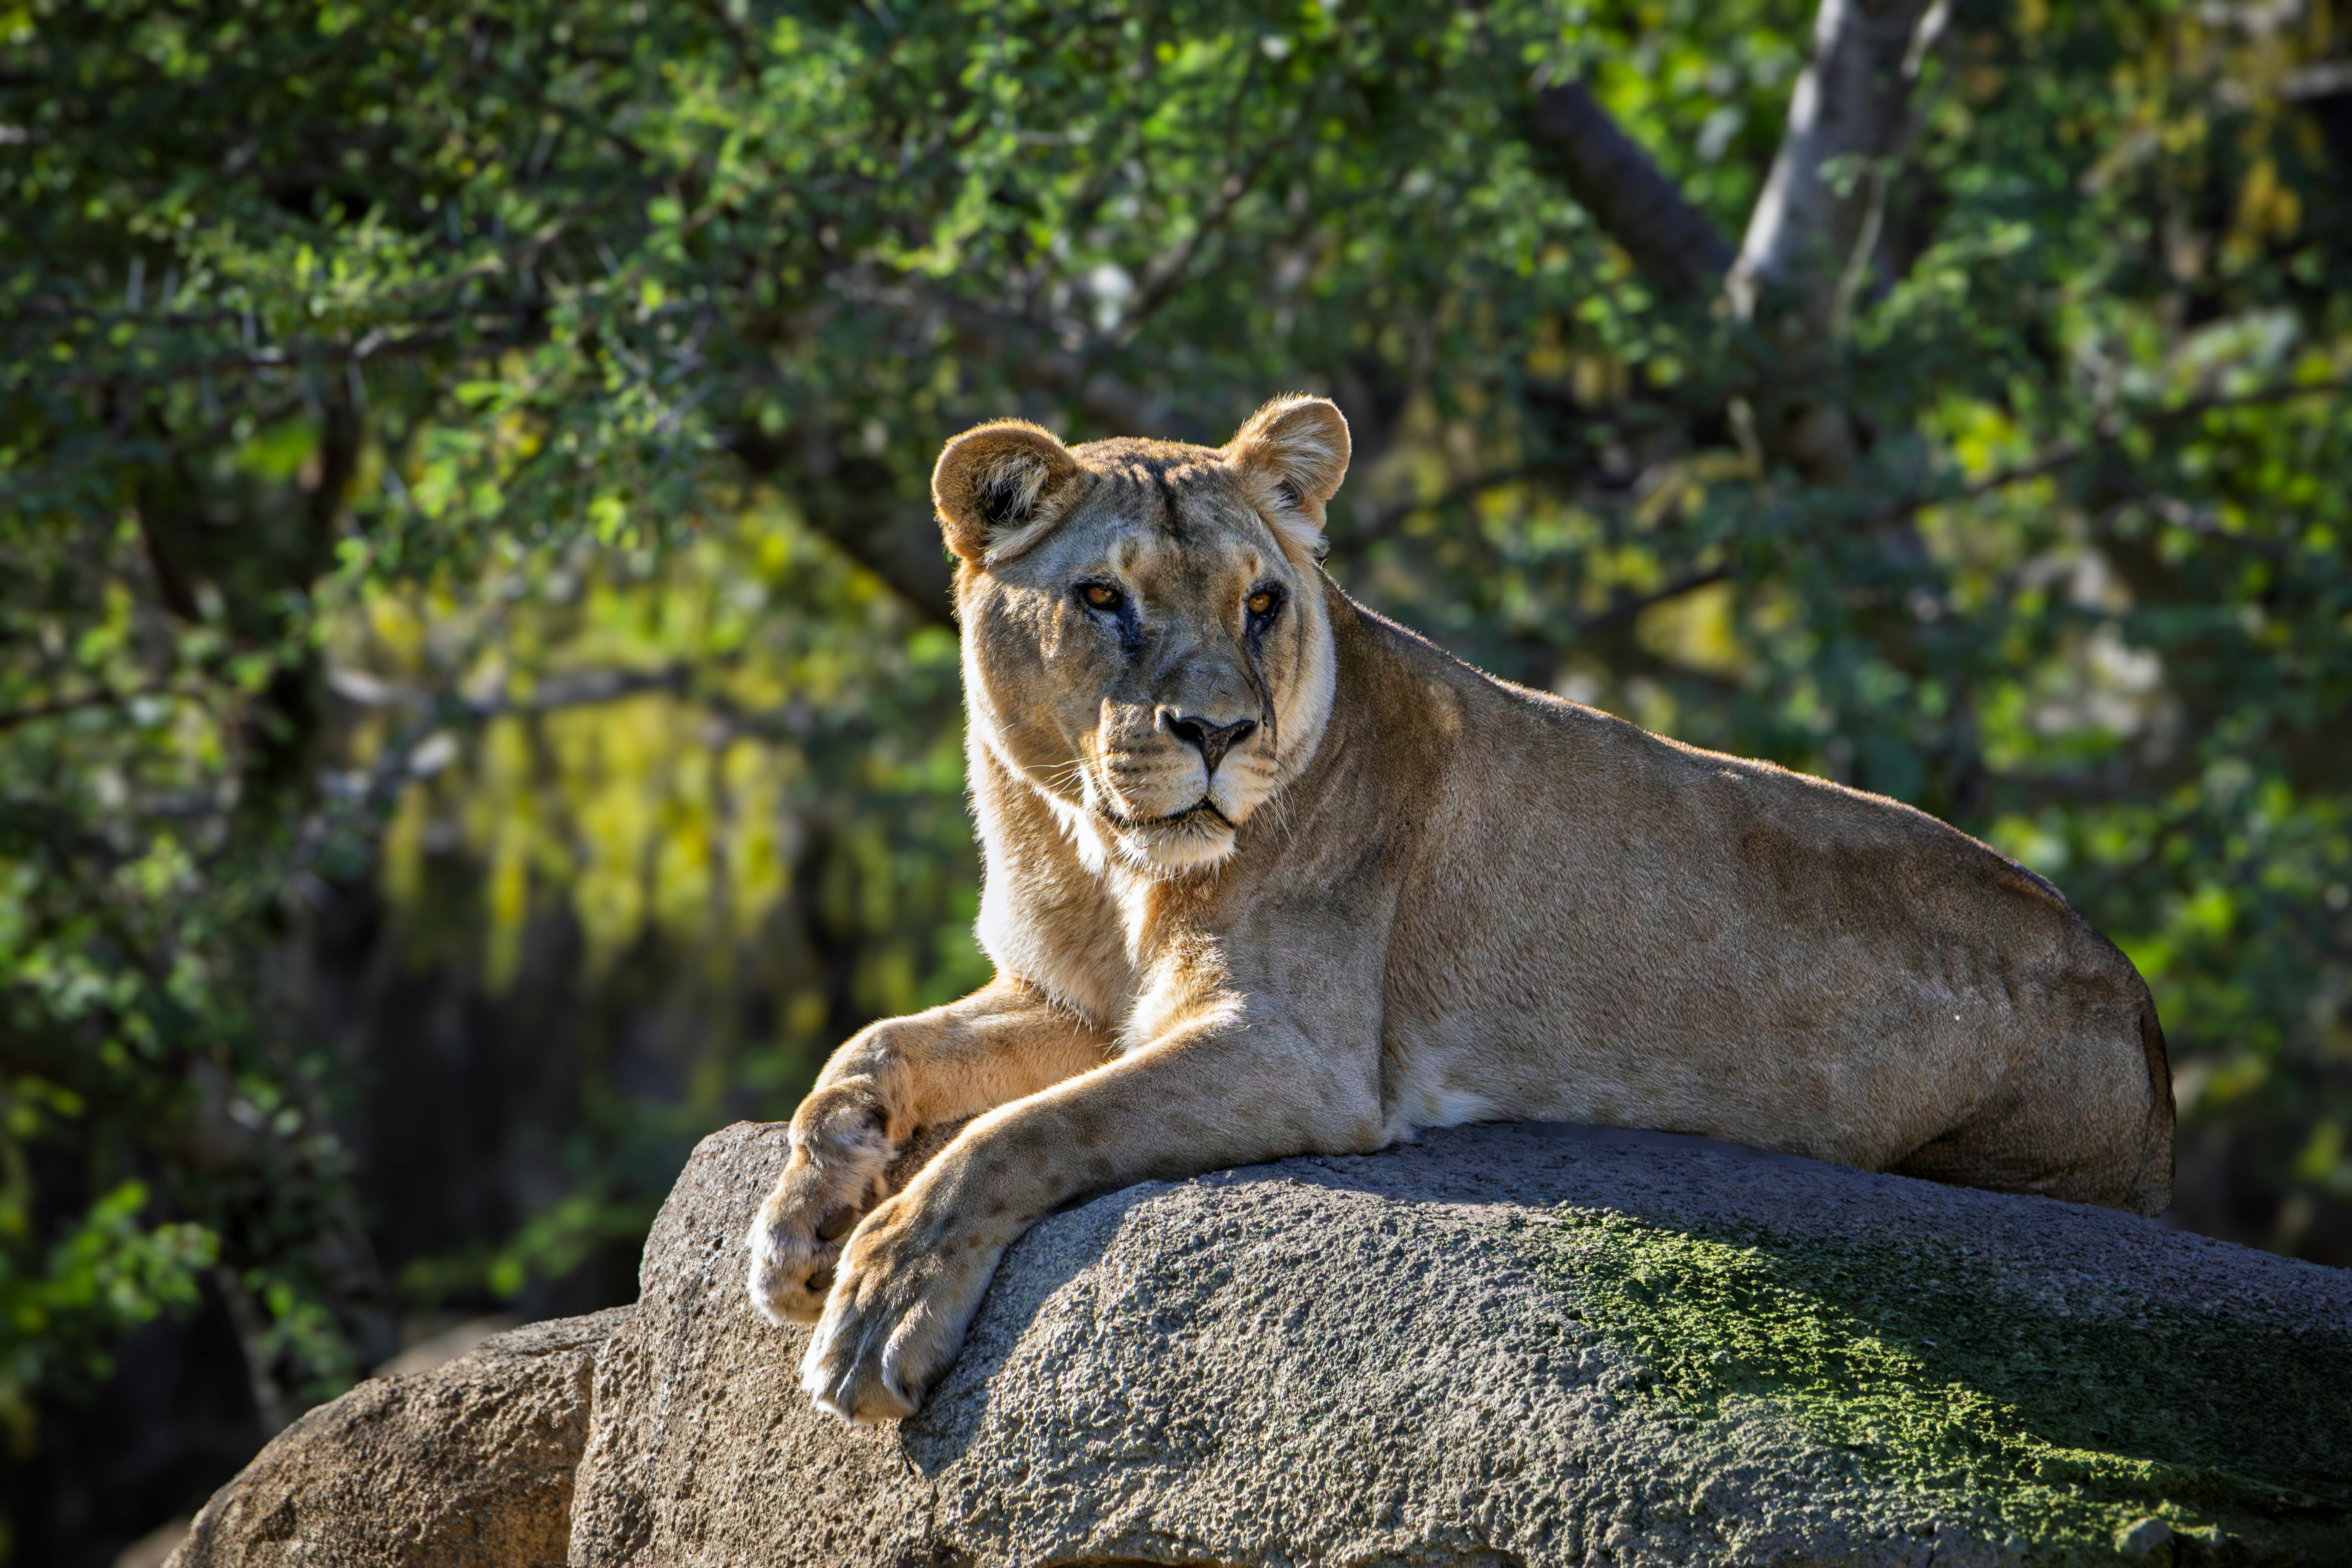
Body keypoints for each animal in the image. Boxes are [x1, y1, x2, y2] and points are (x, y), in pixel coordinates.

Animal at [748, 395, 2175, 1424]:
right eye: (1104, 598)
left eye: (1261, 605)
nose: (1219, 733)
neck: (1092, 851)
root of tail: (2148, 1020)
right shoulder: (1074, 1000)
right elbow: (867, 1051)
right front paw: (800, 1225)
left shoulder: (1298, 1053)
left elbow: (1023, 1134)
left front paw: (881, 1303)